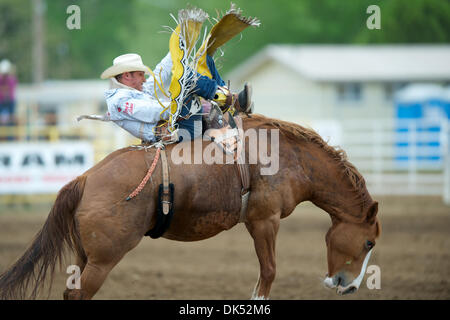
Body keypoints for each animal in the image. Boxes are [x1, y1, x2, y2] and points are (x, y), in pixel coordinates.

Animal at [0, 114, 380, 298]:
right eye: (369, 242)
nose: (349, 286)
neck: (287, 157)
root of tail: (85, 178)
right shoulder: (264, 220)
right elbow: (269, 273)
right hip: (103, 259)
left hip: (84, 256)